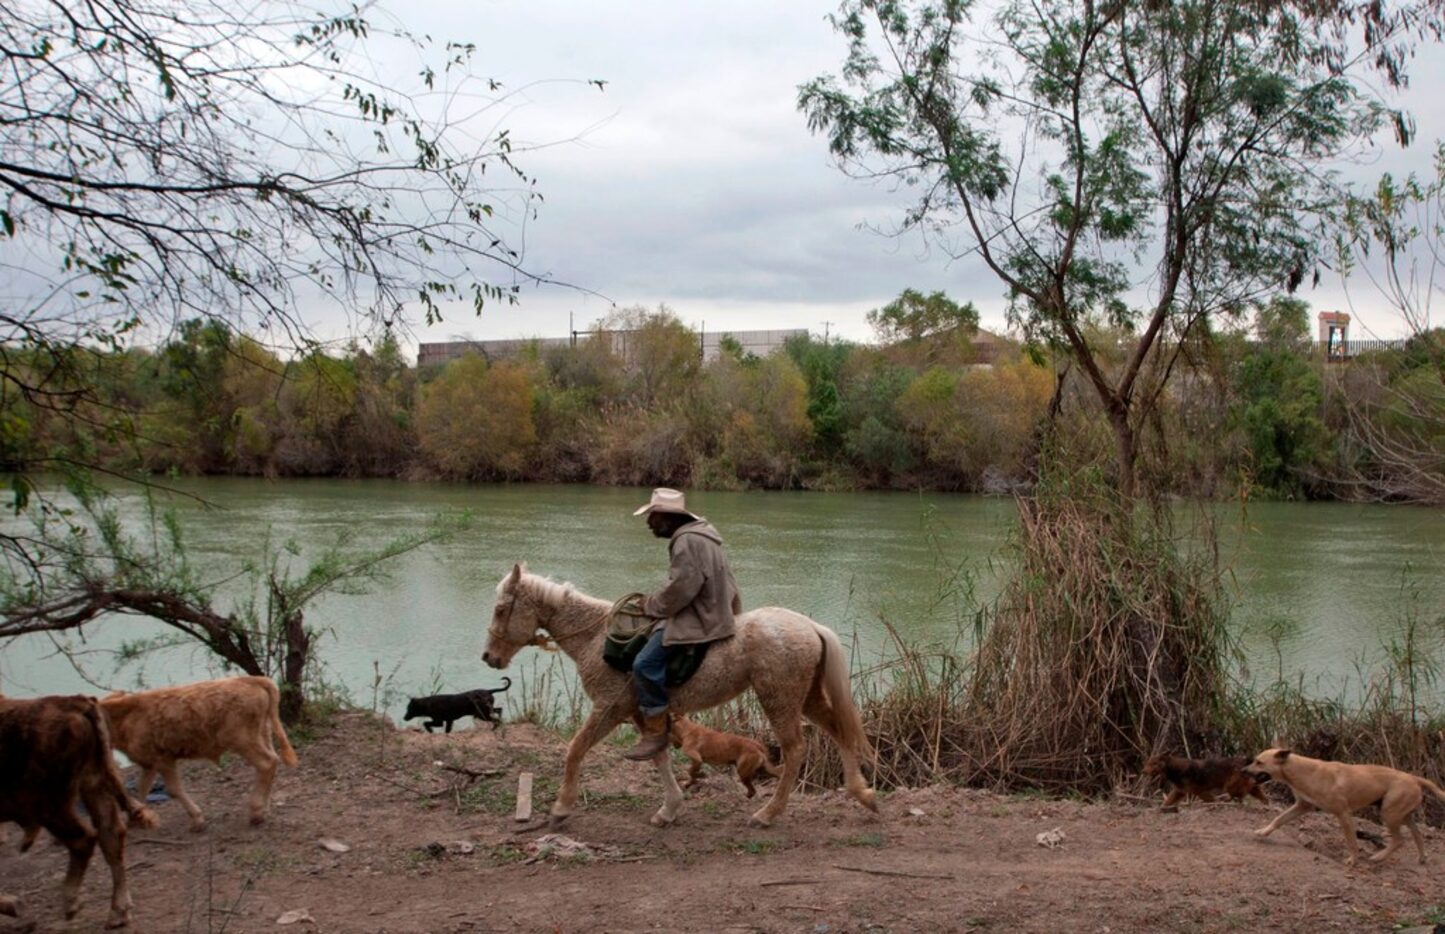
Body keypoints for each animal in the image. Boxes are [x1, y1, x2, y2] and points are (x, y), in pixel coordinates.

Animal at [0, 693, 158, 931]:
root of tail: (76, 702)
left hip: (51, 806)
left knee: (83, 839)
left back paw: (70, 903)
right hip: (93, 785)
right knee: (110, 836)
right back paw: (118, 913)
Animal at [101, 673, 299, 832]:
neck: (127, 716)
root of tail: (252, 679)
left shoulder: (163, 760)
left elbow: (173, 789)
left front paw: (197, 820)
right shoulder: (148, 763)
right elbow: (141, 789)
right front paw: (136, 818)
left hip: (242, 739)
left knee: (266, 763)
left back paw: (256, 812)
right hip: (262, 733)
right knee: (272, 761)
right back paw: (264, 808)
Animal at [479, 566, 872, 832]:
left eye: (500, 609)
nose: (489, 657)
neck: (596, 636)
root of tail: (810, 627)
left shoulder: (608, 709)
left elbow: (576, 749)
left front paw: (561, 808)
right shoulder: (642, 714)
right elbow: (659, 756)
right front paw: (670, 808)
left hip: (779, 699)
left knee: (794, 751)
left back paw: (767, 814)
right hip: (806, 698)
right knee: (839, 731)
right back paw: (863, 794)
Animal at [1242, 751, 1445, 867]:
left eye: (1259, 762)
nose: (1243, 770)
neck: (1301, 770)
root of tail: (1414, 778)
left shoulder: (1344, 814)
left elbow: (1351, 842)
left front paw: (1353, 861)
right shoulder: (1301, 806)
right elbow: (1278, 819)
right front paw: (1263, 832)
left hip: (1389, 814)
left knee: (1400, 840)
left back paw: (1378, 857)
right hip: (1402, 815)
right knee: (1417, 835)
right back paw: (1422, 858)